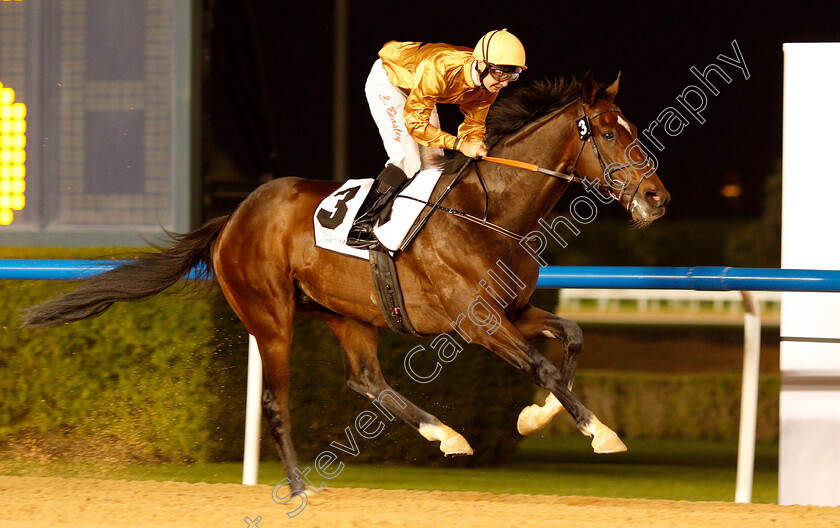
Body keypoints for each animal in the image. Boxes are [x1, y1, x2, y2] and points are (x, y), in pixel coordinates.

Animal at [24, 73, 668, 490]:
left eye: (632, 127)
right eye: (608, 133)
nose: (657, 198)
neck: (491, 212)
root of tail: (232, 219)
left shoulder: (515, 310)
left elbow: (573, 338)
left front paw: (537, 417)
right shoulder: (480, 323)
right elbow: (542, 366)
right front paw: (601, 433)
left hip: (347, 313)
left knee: (366, 380)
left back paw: (446, 435)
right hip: (271, 318)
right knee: (278, 400)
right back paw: (299, 487)